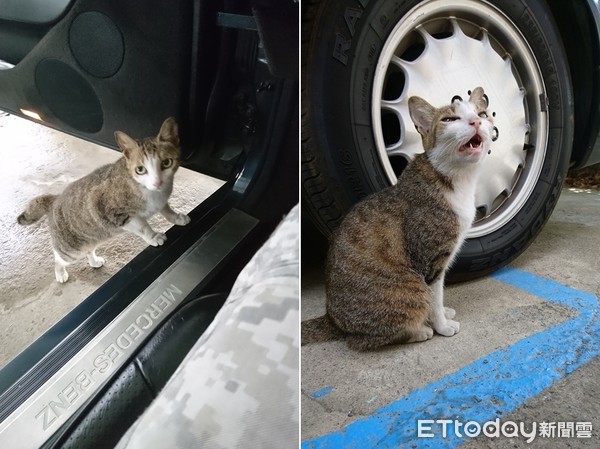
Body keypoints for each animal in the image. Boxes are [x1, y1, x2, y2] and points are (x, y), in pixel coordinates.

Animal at [17, 117, 190, 282]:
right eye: (140, 170)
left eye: (166, 163)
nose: (157, 182)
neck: (147, 190)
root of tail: (55, 199)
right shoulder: (116, 214)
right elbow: (142, 227)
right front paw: (153, 236)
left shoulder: (161, 201)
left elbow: (167, 211)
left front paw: (177, 217)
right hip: (72, 250)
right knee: (58, 257)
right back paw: (60, 272)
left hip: (93, 237)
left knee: (88, 250)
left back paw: (93, 261)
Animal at [302, 85, 494, 350]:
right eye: (450, 119)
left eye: (482, 114)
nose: (476, 121)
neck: (455, 178)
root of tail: (332, 318)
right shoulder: (430, 259)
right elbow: (434, 297)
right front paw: (442, 325)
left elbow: (439, 295)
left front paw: (444, 313)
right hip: (411, 288)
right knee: (362, 340)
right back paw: (419, 331)